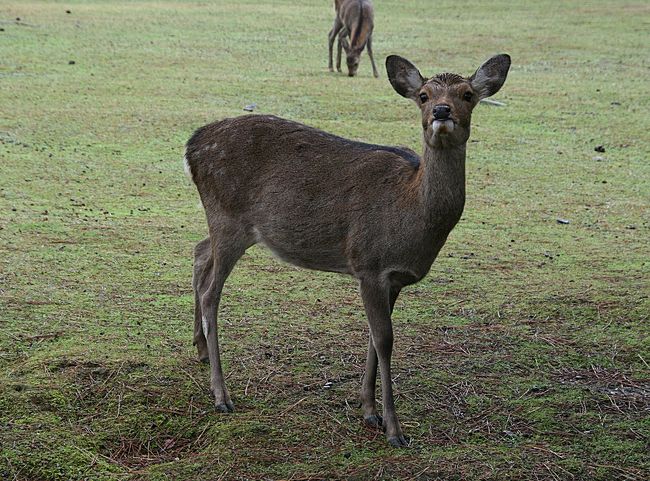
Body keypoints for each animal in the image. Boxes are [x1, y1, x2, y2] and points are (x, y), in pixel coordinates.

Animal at [184, 53, 510, 447]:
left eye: (467, 94)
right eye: (423, 95)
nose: (442, 111)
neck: (411, 215)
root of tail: (192, 145)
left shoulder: (393, 278)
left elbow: (374, 337)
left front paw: (369, 410)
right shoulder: (369, 263)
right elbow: (384, 339)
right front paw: (394, 429)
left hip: (227, 225)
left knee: (199, 253)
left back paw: (201, 351)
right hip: (228, 218)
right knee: (211, 293)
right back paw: (221, 395)